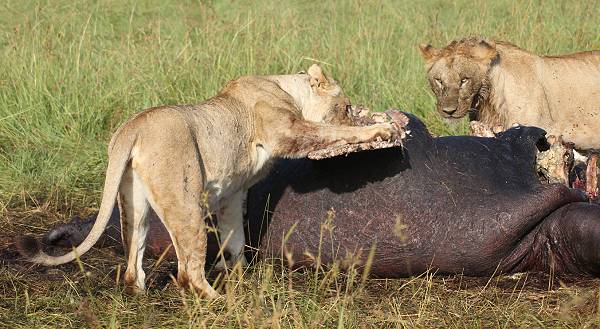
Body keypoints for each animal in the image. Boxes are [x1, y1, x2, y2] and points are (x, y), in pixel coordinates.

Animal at [17, 64, 404, 298]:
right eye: (346, 106)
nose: (355, 112)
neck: (288, 88)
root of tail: (134, 126)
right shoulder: (287, 131)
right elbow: (330, 133)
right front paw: (379, 131)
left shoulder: (233, 192)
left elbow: (235, 235)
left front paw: (237, 270)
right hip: (185, 202)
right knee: (187, 272)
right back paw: (215, 298)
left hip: (134, 201)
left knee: (132, 261)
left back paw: (141, 291)